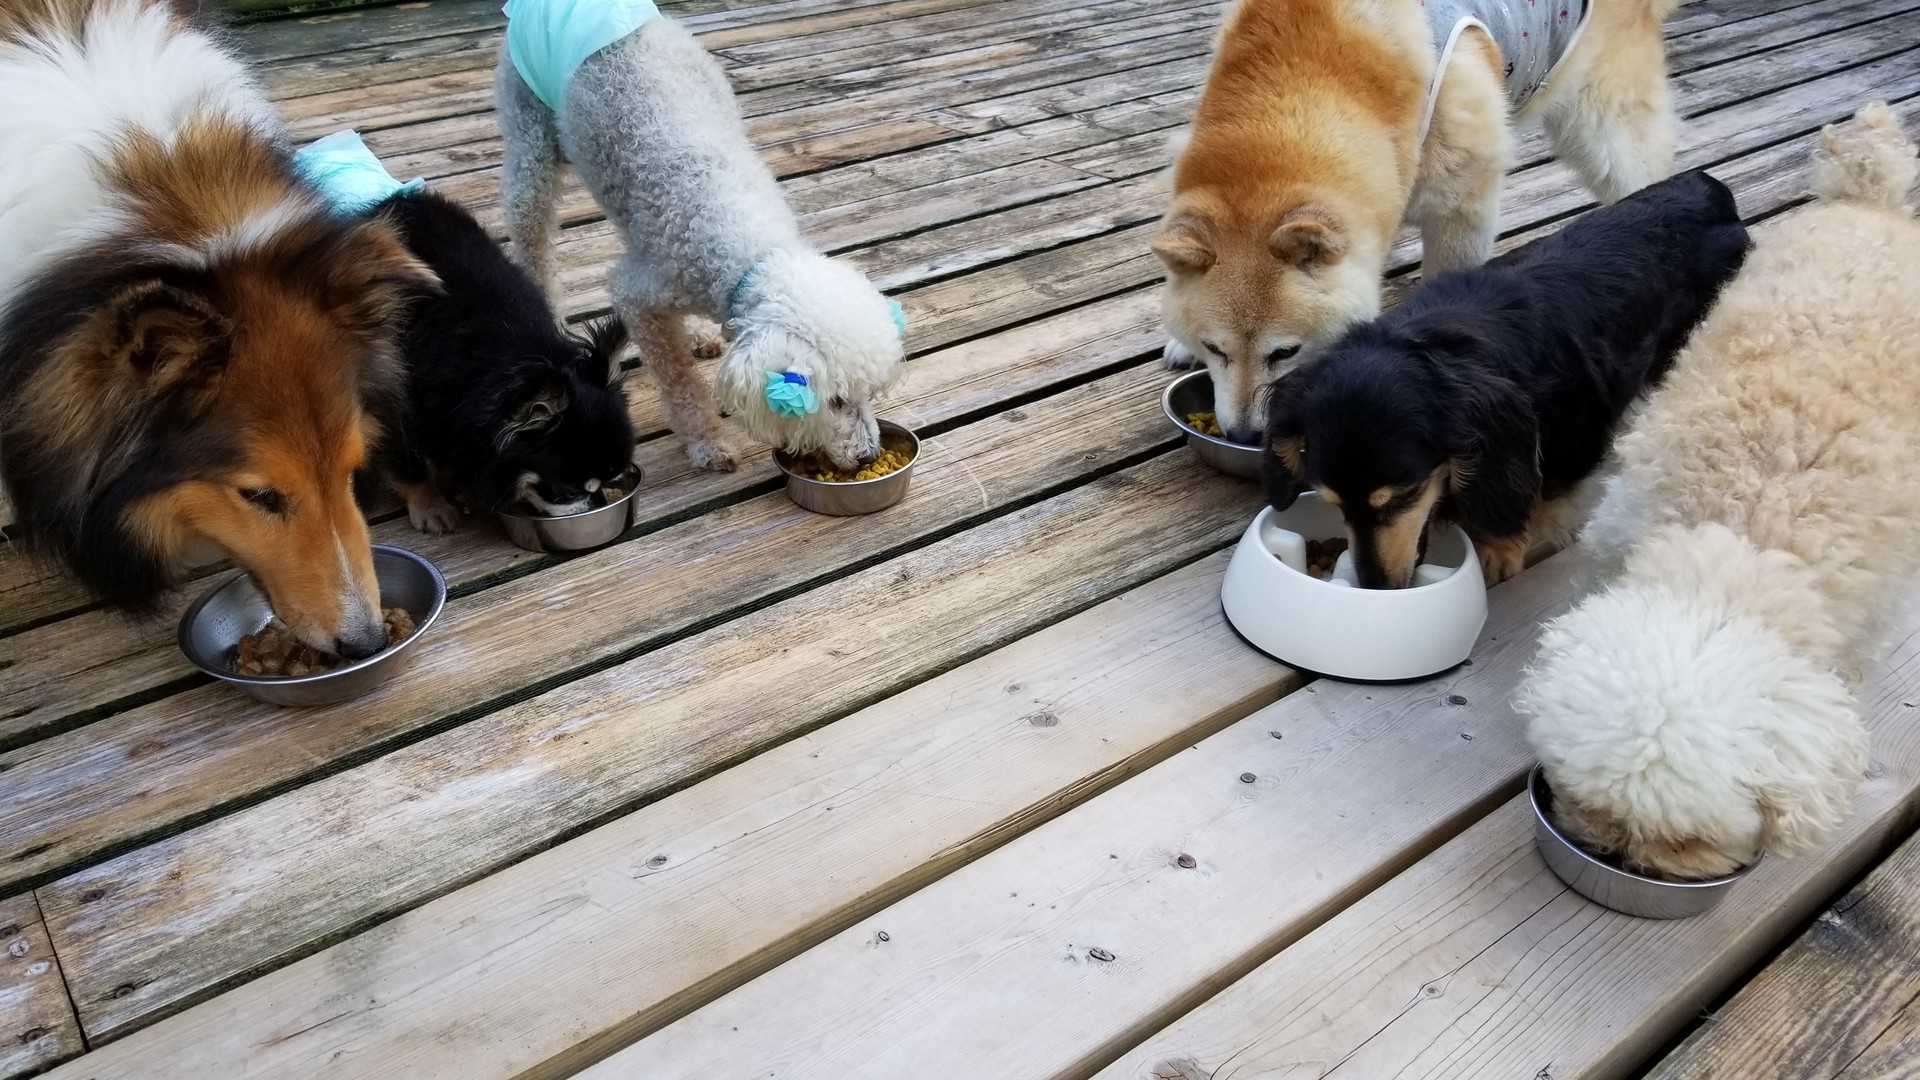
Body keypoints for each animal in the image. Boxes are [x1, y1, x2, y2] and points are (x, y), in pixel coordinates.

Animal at [371, 188, 637, 531]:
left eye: (609, 481)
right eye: (569, 492)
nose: (600, 504)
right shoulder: (397, 407)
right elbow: (407, 461)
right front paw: (429, 505)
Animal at [493, 0, 905, 473]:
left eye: (867, 393)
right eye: (835, 401)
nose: (868, 454)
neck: (746, 251)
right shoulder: (636, 297)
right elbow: (678, 381)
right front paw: (707, 442)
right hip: (529, 134)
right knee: (531, 230)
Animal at [1261, 170, 1749, 589]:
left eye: (1404, 496)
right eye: (1333, 502)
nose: (1376, 588)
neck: (1443, 346)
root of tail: (1707, 187)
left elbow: (1536, 497)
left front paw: (1500, 550)